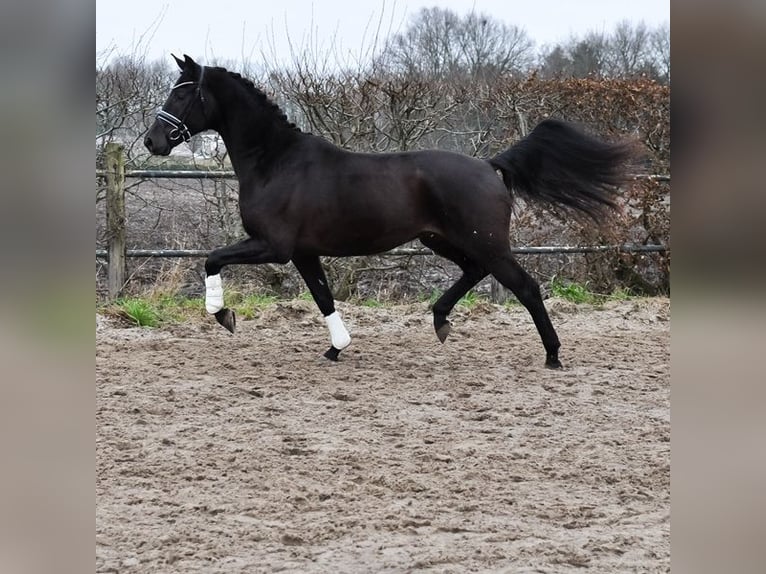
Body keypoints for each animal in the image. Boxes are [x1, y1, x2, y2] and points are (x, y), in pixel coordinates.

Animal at [144, 55, 636, 368]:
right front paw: (337, 348)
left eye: (183, 95)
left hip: (487, 243)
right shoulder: (303, 252)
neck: (275, 161)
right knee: (474, 271)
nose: (153, 141)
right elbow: (323, 297)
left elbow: (212, 258)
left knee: (526, 287)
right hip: (441, 240)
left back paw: (552, 355)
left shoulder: (274, 247)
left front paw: (223, 316)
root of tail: (489, 165)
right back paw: (440, 321)